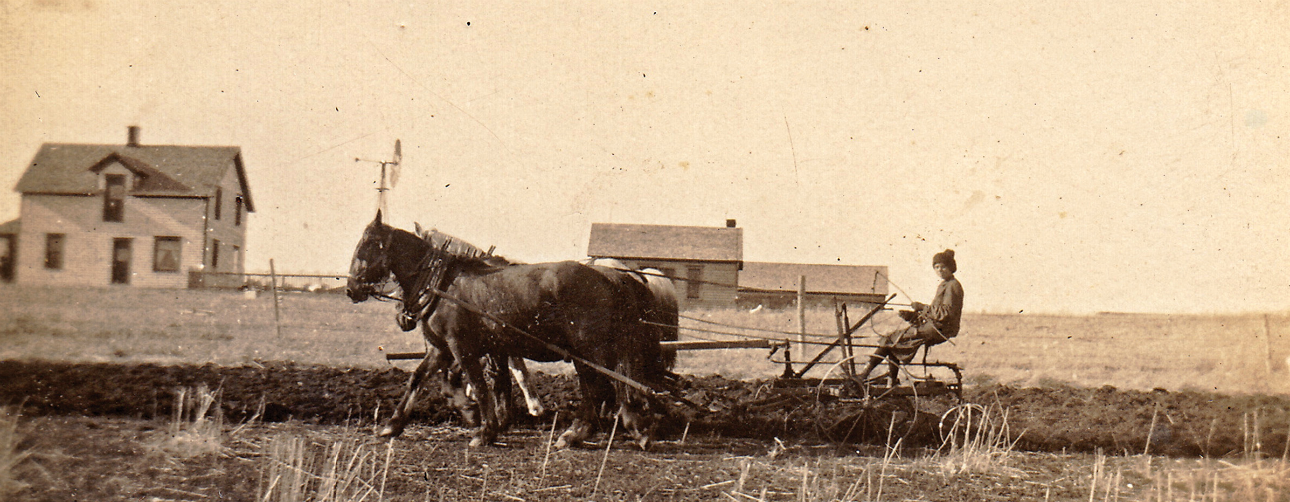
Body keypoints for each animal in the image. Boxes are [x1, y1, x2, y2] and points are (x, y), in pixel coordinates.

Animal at [348, 211, 670, 446]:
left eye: (366, 246)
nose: (352, 289)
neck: (442, 285)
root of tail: (611, 276)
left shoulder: (462, 347)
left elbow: (480, 385)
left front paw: (485, 429)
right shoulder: (443, 348)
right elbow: (418, 378)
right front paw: (392, 425)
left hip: (589, 348)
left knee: (599, 386)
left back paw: (581, 431)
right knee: (608, 386)